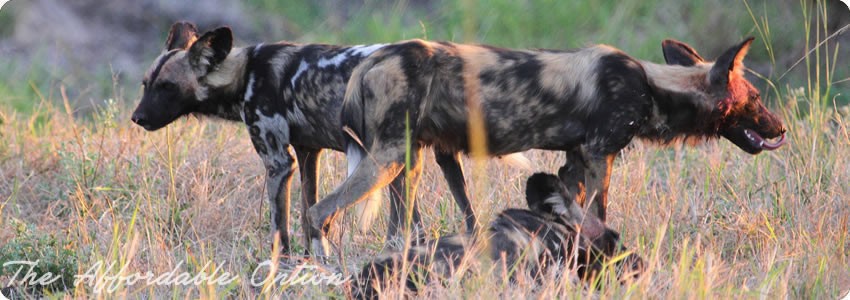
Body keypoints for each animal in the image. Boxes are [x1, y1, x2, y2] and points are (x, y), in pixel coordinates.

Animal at [130, 21, 480, 255]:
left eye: (167, 87)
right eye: (146, 84)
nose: (137, 118)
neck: (245, 75)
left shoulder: (279, 163)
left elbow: (280, 228)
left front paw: (281, 268)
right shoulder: (308, 153)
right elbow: (307, 213)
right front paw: (313, 262)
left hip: (389, 159)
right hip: (412, 160)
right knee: (445, 221)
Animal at [308, 38, 784, 239]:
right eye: (757, 98)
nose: (780, 129)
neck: (653, 84)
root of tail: (370, 60)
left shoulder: (573, 161)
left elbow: (570, 214)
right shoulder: (598, 155)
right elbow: (600, 214)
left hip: (408, 163)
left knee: (397, 228)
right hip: (386, 160)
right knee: (316, 213)